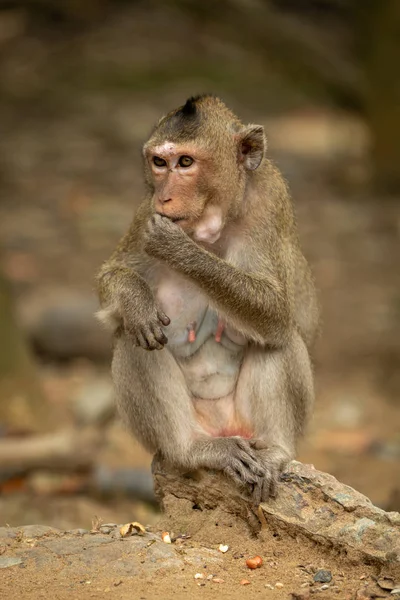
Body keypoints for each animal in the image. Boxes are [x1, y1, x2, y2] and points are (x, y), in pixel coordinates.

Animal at [97, 95, 318, 502]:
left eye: (186, 163)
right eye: (159, 162)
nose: (165, 195)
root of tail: (222, 427)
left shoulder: (270, 204)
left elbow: (276, 311)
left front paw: (178, 249)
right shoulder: (144, 211)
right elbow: (111, 282)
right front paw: (136, 299)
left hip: (247, 424)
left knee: (279, 337)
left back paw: (275, 451)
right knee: (134, 336)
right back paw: (193, 448)